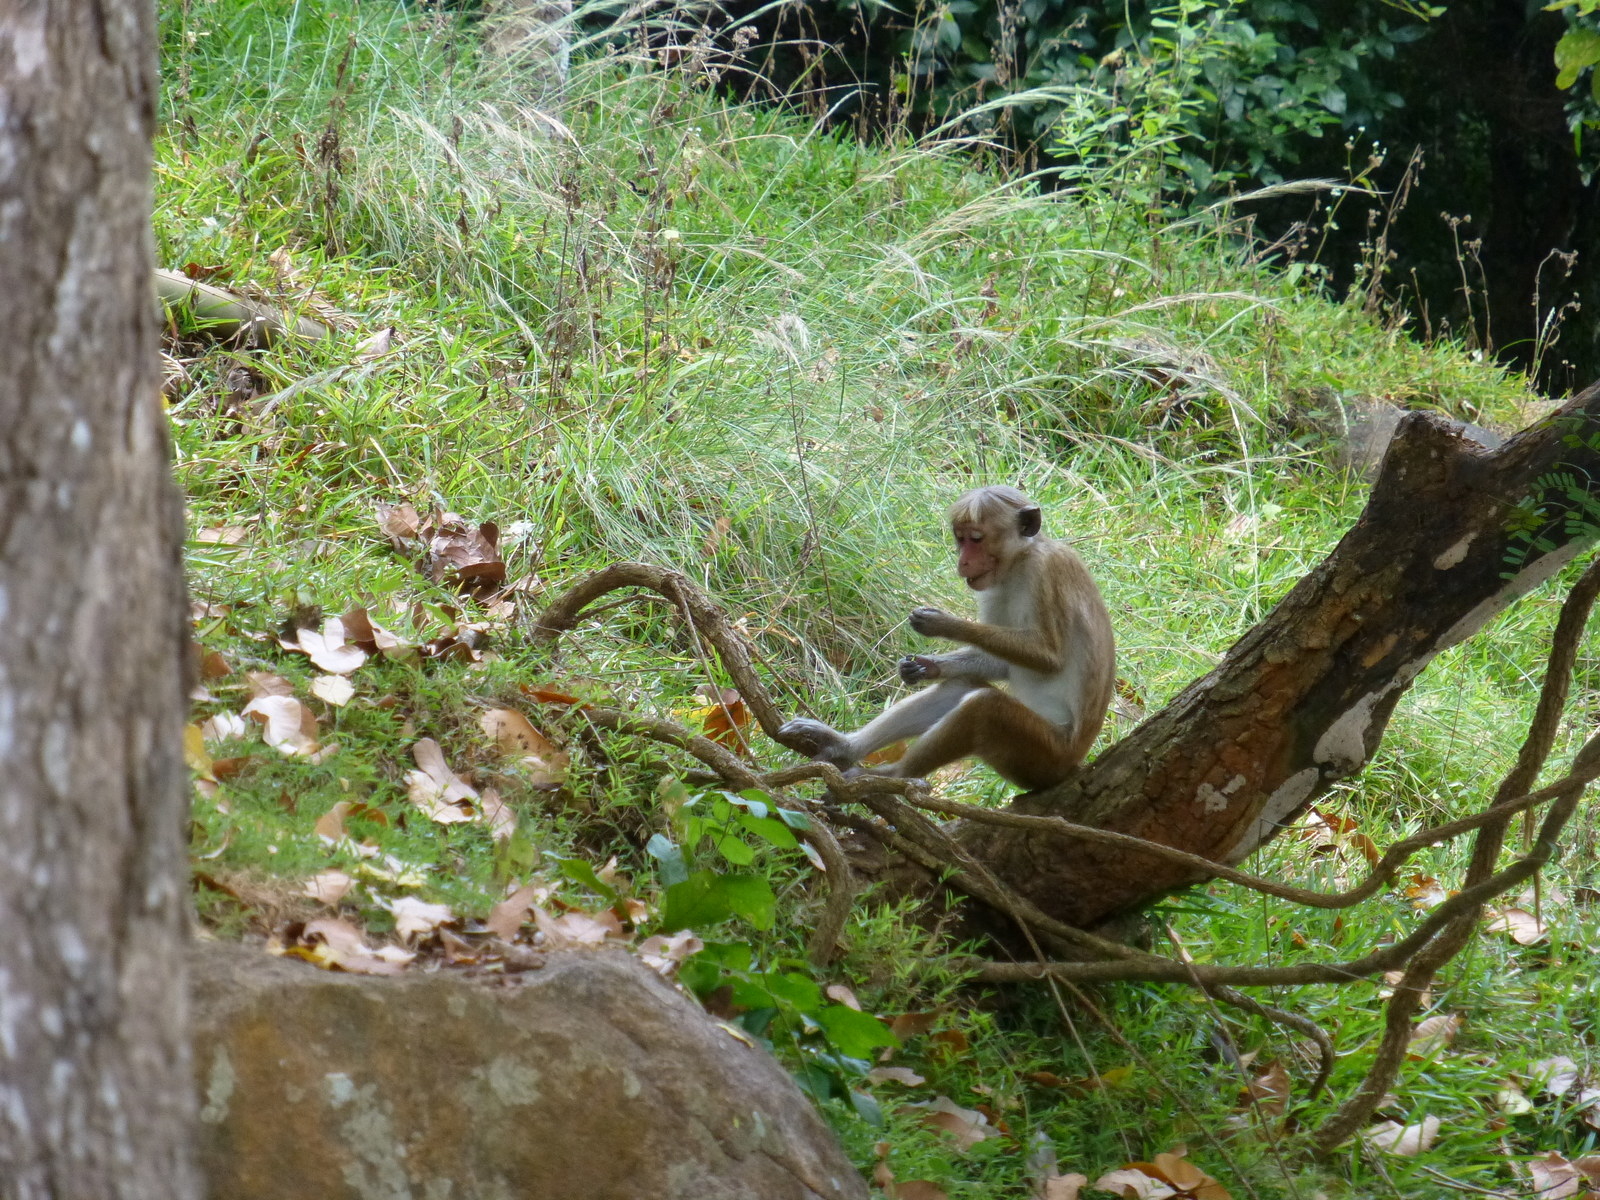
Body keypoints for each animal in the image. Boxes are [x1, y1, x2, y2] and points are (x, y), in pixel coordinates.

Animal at [777, 483, 1113, 793]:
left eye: (976, 539)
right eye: (960, 538)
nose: (962, 561)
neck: (1019, 561)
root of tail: (1073, 765)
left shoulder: (1046, 571)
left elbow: (1048, 655)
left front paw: (944, 624)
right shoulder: (992, 588)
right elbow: (1000, 664)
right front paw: (925, 667)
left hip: (1044, 755)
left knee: (984, 709)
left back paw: (893, 776)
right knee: (960, 688)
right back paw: (845, 747)